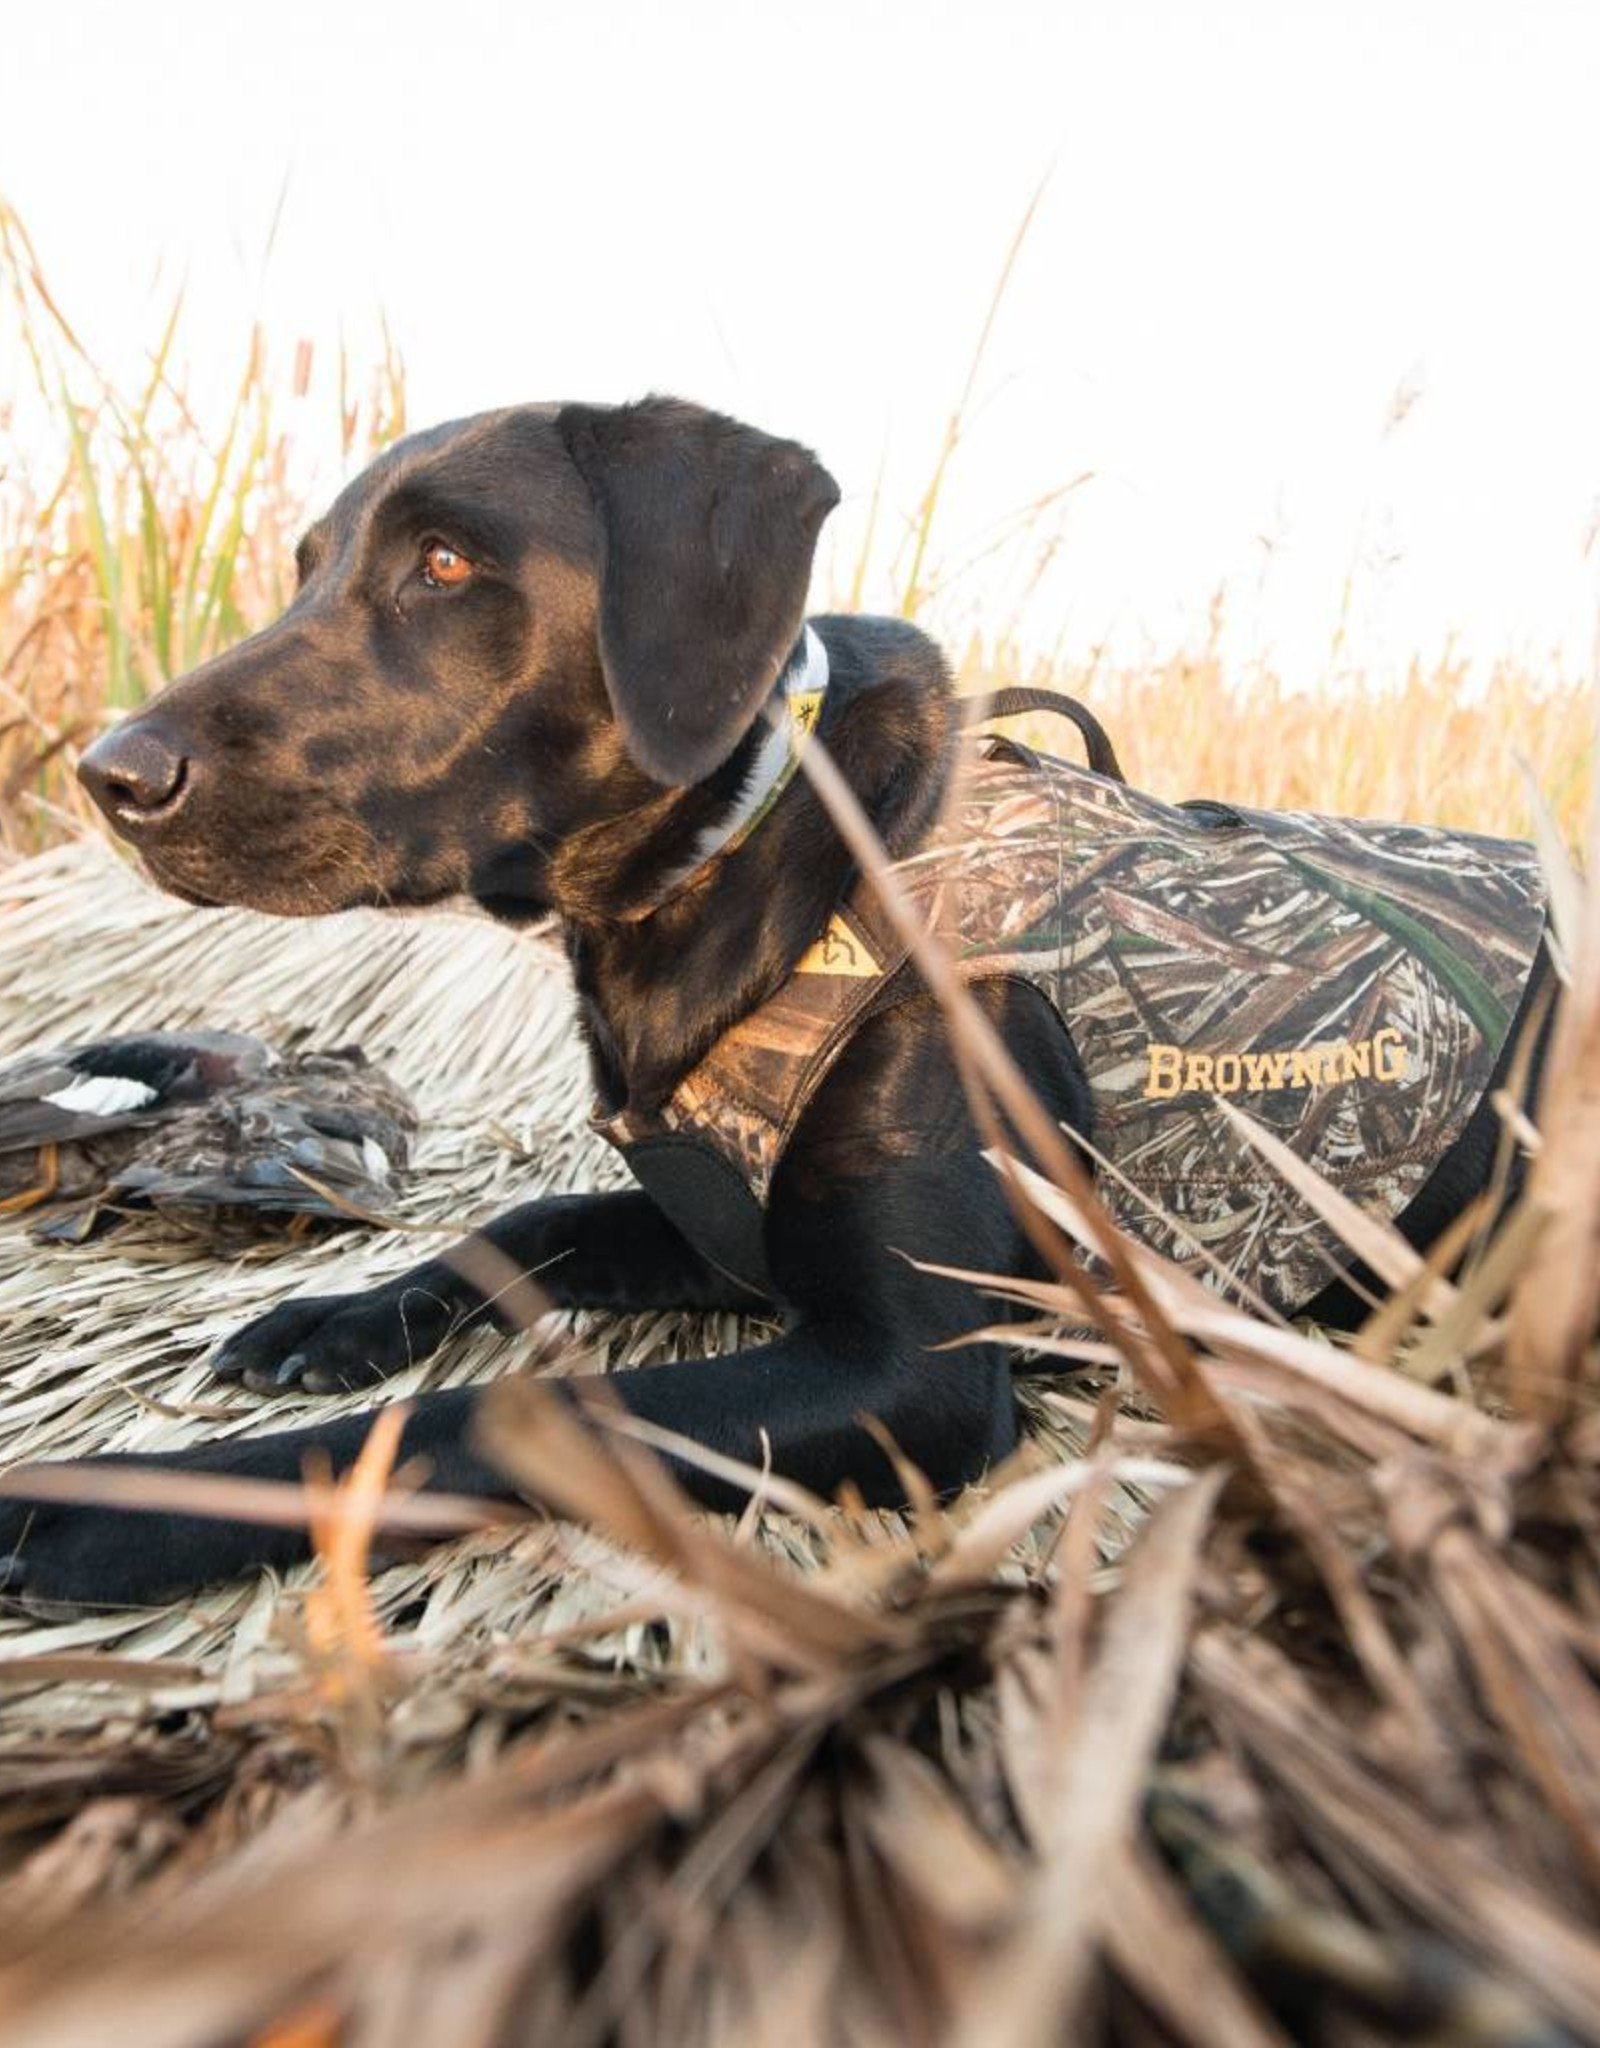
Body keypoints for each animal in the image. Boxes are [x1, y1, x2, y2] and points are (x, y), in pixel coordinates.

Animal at [0, 399, 1524, 1605]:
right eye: (308, 571)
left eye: (444, 563)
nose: (110, 775)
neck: (745, 850)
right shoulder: (729, 1226)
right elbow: (518, 1225)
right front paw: (331, 1319)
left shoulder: (909, 1375)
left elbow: (495, 1415)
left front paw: (115, 1503)